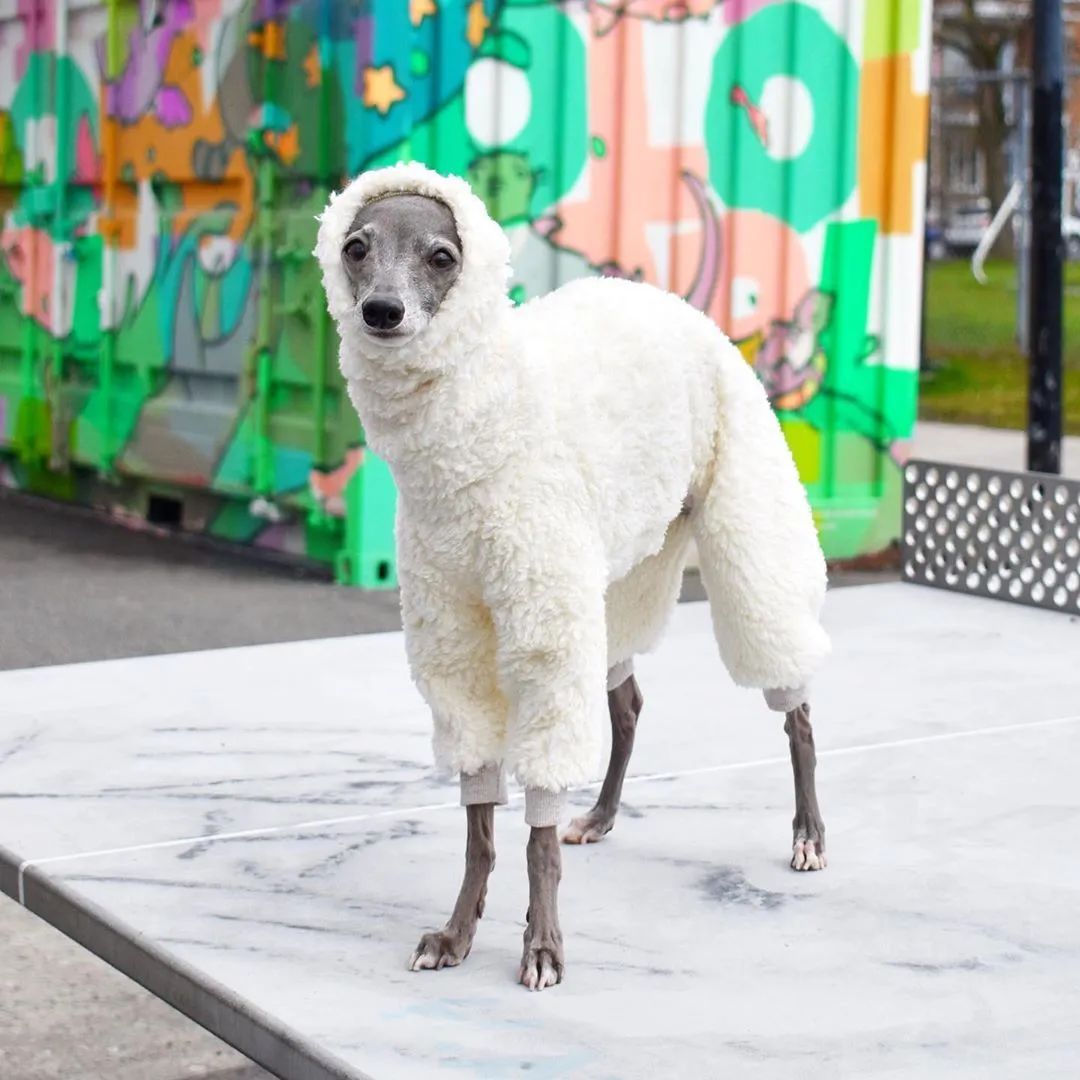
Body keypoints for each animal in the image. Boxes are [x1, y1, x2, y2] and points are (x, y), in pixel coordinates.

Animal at [315, 162, 829, 993]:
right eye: (356, 247)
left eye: (441, 256)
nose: (381, 312)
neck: (471, 440)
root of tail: (675, 304)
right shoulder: (454, 639)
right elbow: (481, 826)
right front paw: (459, 933)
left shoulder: (542, 631)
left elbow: (537, 830)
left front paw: (543, 944)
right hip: (616, 589)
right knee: (629, 705)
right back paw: (605, 813)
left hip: (746, 543)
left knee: (796, 705)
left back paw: (808, 833)